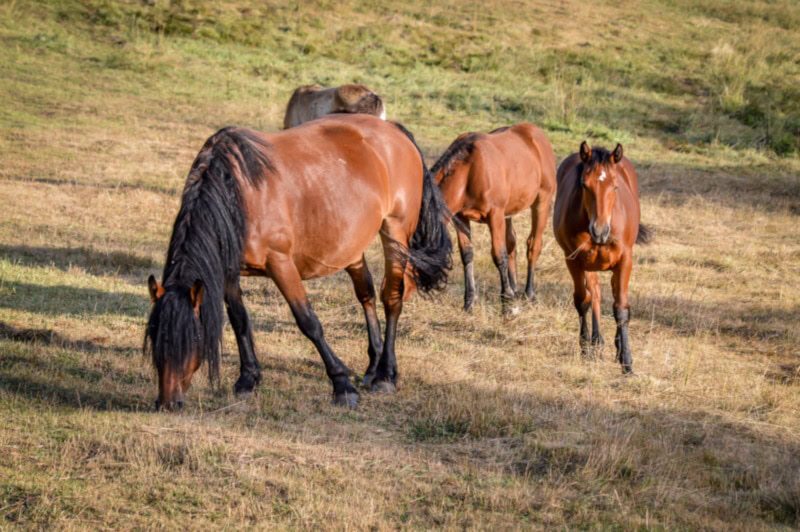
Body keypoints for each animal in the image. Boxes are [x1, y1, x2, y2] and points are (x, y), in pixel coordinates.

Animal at [144, 114, 452, 410]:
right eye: (156, 339)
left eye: (190, 340)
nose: (167, 403)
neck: (236, 194)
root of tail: (394, 131)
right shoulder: (229, 271)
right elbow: (240, 320)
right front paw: (248, 378)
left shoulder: (281, 264)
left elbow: (308, 322)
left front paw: (342, 385)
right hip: (352, 245)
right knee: (366, 294)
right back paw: (373, 366)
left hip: (395, 232)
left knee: (392, 299)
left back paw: (386, 375)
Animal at [430, 123, 556, 311]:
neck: (470, 169)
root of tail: (537, 134)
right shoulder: (460, 217)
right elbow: (467, 255)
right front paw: (469, 301)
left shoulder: (495, 215)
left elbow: (499, 255)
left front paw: (507, 302)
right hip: (508, 213)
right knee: (512, 244)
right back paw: (515, 289)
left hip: (542, 201)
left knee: (533, 245)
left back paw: (529, 293)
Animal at [553, 141, 651, 373]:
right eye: (584, 185)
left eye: (615, 186)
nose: (599, 231)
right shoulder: (574, 260)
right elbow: (583, 301)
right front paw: (585, 348)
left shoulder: (625, 260)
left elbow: (621, 307)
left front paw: (627, 362)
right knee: (595, 293)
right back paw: (597, 340)